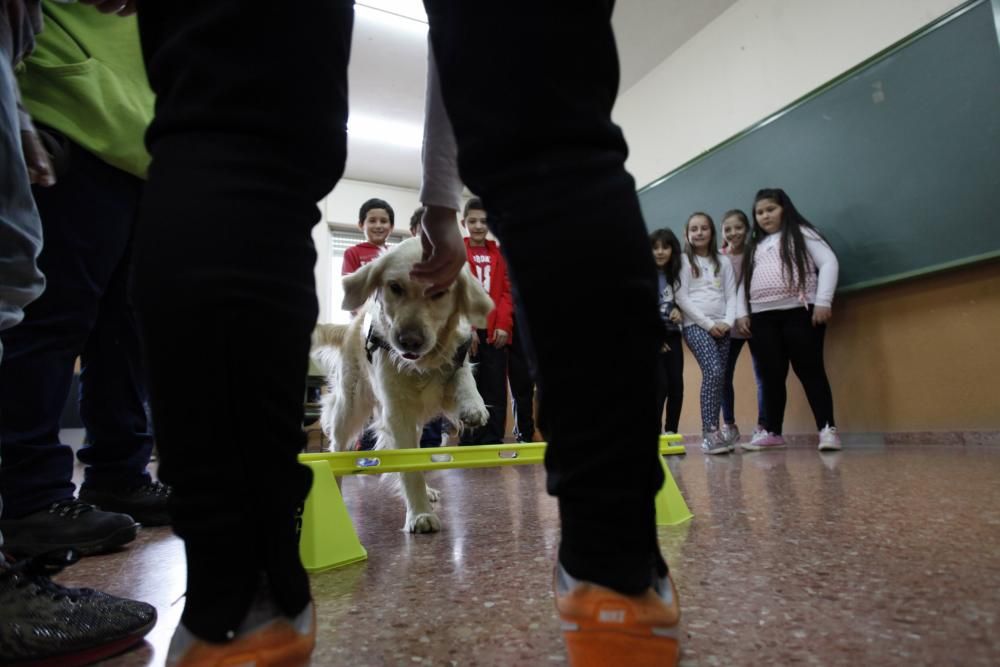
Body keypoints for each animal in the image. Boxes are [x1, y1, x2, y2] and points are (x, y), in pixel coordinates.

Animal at [314, 237, 494, 536]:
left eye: (440, 292)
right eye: (395, 287)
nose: (410, 340)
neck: (422, 363)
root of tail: (351, 324)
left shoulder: (453, 361)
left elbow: (462, 376)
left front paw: (473, 405)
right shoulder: (397, 413)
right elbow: (409, 468)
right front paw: (420, 514)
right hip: (350, 406)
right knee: (338, 446)